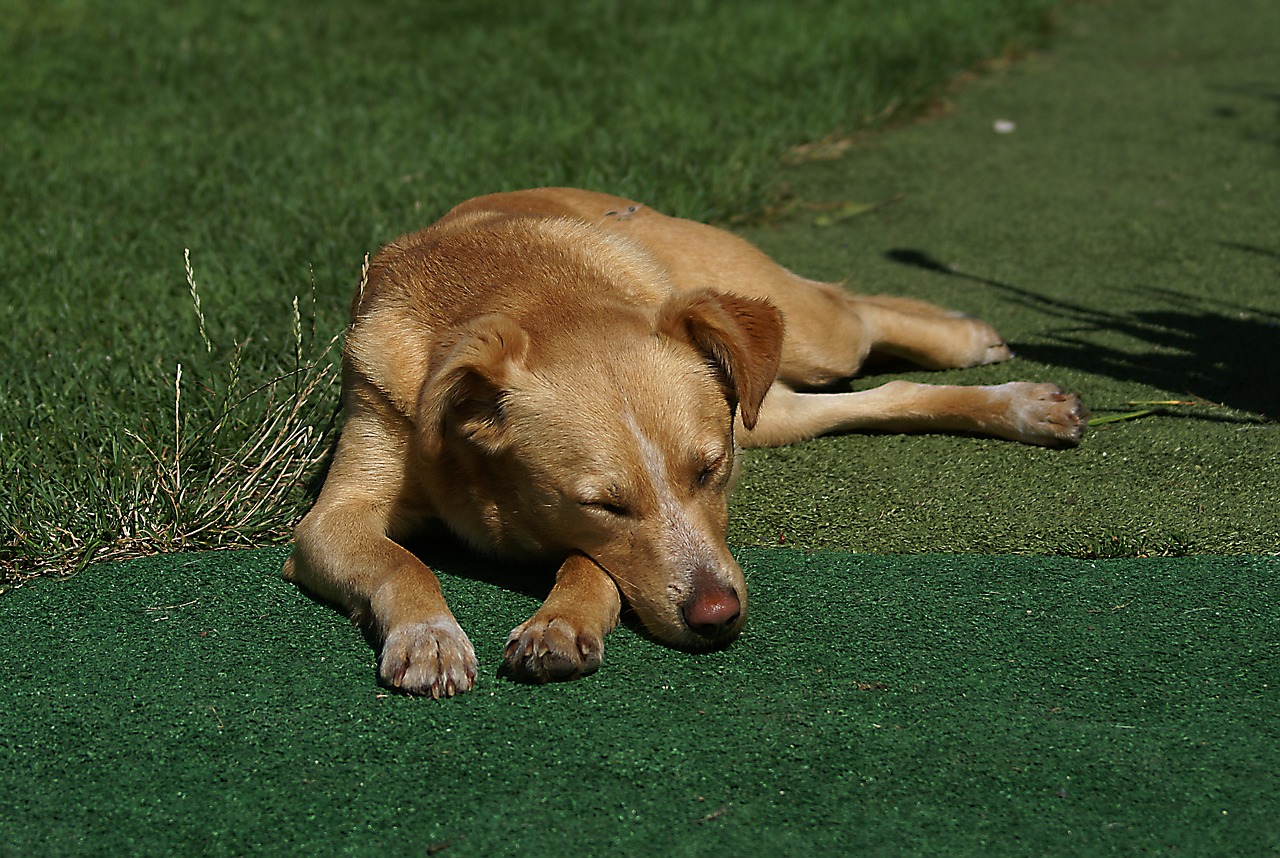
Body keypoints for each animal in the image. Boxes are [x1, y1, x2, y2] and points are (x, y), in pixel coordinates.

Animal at [285, 188, 1085, 696]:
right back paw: (1015, 403)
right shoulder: (333, 513)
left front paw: (561, 618)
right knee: (876, 395)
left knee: (852, 307)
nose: (718, 617)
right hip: (769, 408)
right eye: (604, 504)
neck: (525, 293)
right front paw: (430, 633)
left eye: (711, 471)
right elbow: (402, 560)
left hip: (799, 340)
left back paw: (973, 346)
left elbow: (586, 566)